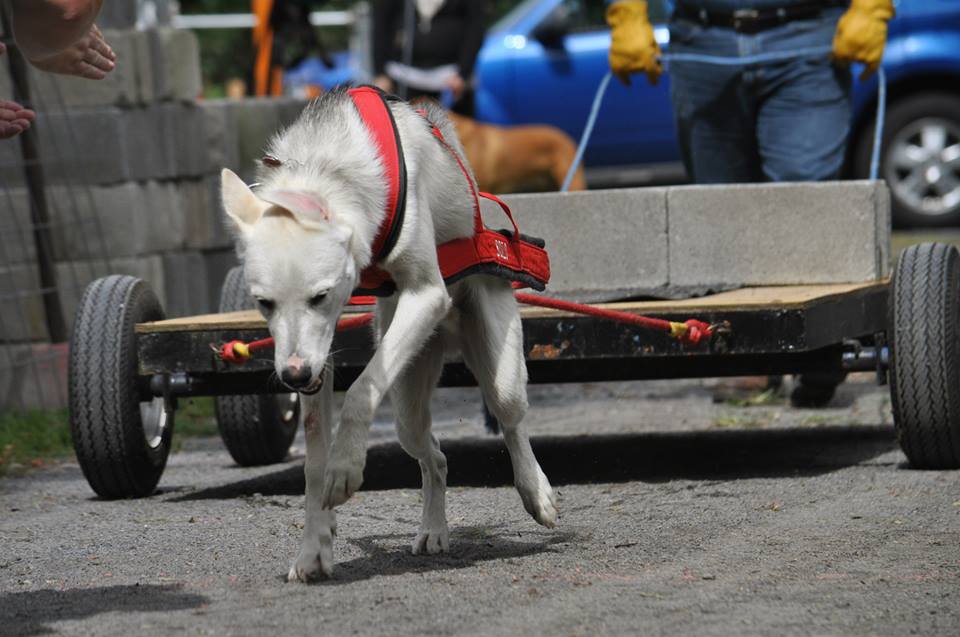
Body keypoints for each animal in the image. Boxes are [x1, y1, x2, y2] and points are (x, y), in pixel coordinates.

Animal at [221, 88, 560, 580]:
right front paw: (314, 546)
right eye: (263, 303)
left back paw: (537, 492)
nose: (295, 376)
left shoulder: (426, 294)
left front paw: (346, 466)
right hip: (406, 411)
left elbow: (361, 391)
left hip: (499, 370)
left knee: (512, 423)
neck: (325, 164)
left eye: (321, 296)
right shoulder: (319, 358)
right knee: (435, 457)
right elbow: (313, 462)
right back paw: (434, 530)